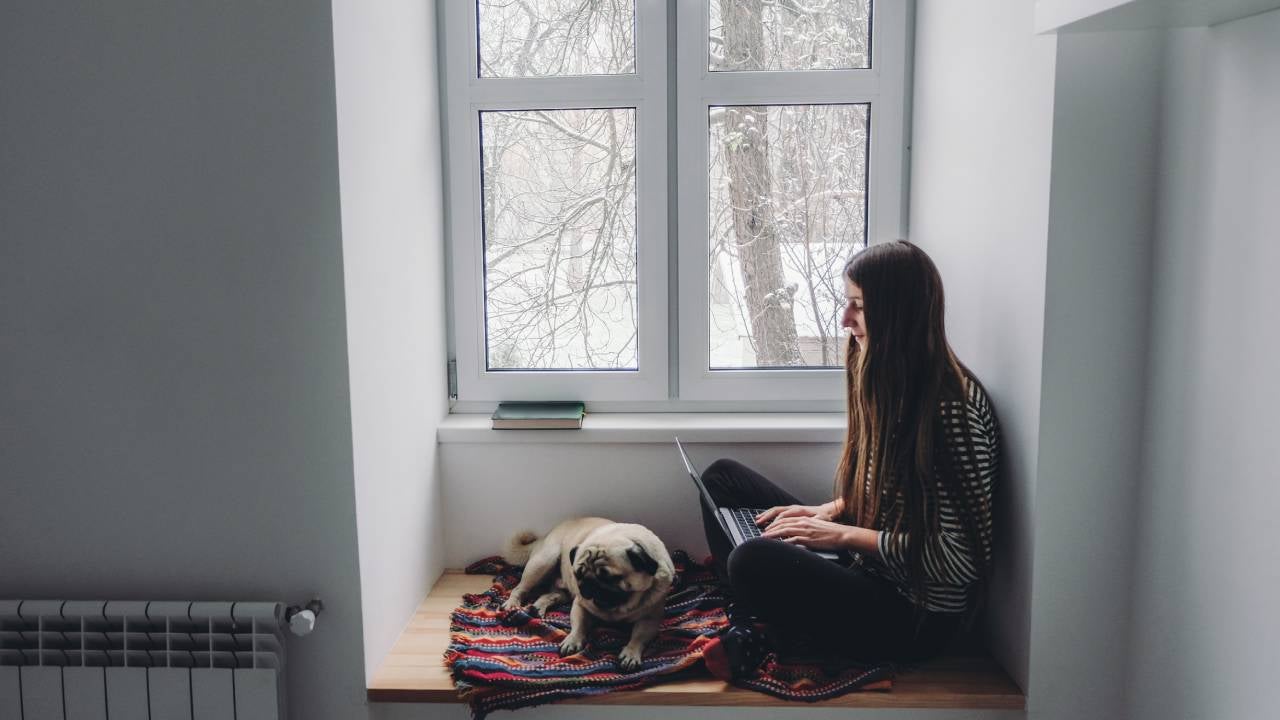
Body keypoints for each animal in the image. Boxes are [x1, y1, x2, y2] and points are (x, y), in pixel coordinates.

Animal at [501, 515, 680, 666]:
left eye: (609, 577)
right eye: (579, 574)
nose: (588, 583)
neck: (615, 608)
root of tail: (545, 536)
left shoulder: (650, 619)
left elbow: (639, 637)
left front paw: (631, 653)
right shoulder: (580, 606)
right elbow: (579, 626)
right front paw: (572, 641)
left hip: (564, 588)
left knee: (550, 594)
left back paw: (538, 607)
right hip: (544, 562)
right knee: (519, 588)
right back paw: (512, 604)